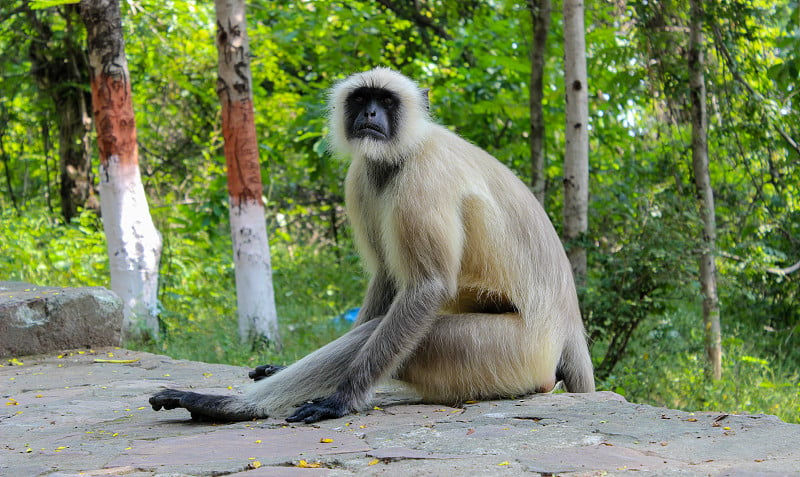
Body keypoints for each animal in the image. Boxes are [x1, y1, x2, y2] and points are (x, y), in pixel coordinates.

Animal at [152, 67, 592, 424]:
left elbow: (426, 286)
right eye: (362, 100)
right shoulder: (362, 175)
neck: (400, 154)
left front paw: (340, 400)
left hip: (510, 352)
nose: (370, 116)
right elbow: (386, 275)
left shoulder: (423, 177)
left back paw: (228, 406)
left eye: (387, 101)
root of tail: (568, 325)